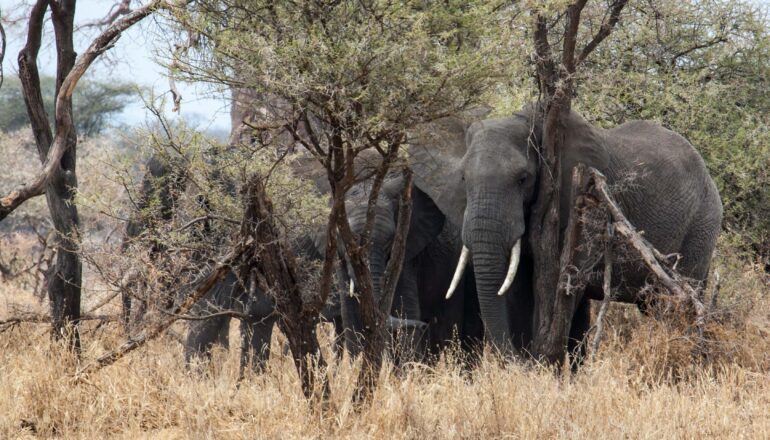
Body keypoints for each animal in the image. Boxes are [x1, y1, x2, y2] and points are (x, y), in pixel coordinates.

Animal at [409, 104, 723, 359]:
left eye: (523, 179)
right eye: (463, 179)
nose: (516, 360)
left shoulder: (585, 202)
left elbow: (565, 282)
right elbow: (518, 287)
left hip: (701, 226)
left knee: (676, 304)